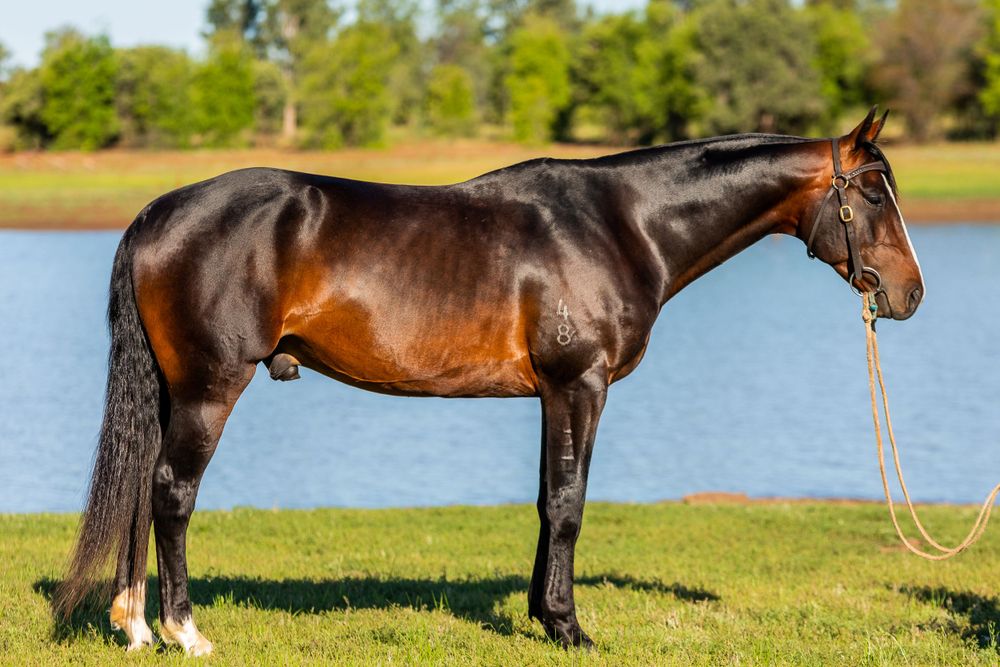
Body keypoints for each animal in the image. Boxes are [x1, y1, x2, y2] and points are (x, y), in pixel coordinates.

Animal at [54, 107, 923, 654]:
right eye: (871, 192)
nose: (910, 294)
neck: (622, 222)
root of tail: (159, 212)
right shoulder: (581, 384)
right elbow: (569, 504)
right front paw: (570, 628)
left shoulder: (553, 394)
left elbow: (547, 501)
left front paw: (544, 615)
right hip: (209, 387)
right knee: (171, 493)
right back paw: (184, 630)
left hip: (172, 390)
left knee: (139, 488)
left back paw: (133, 625)